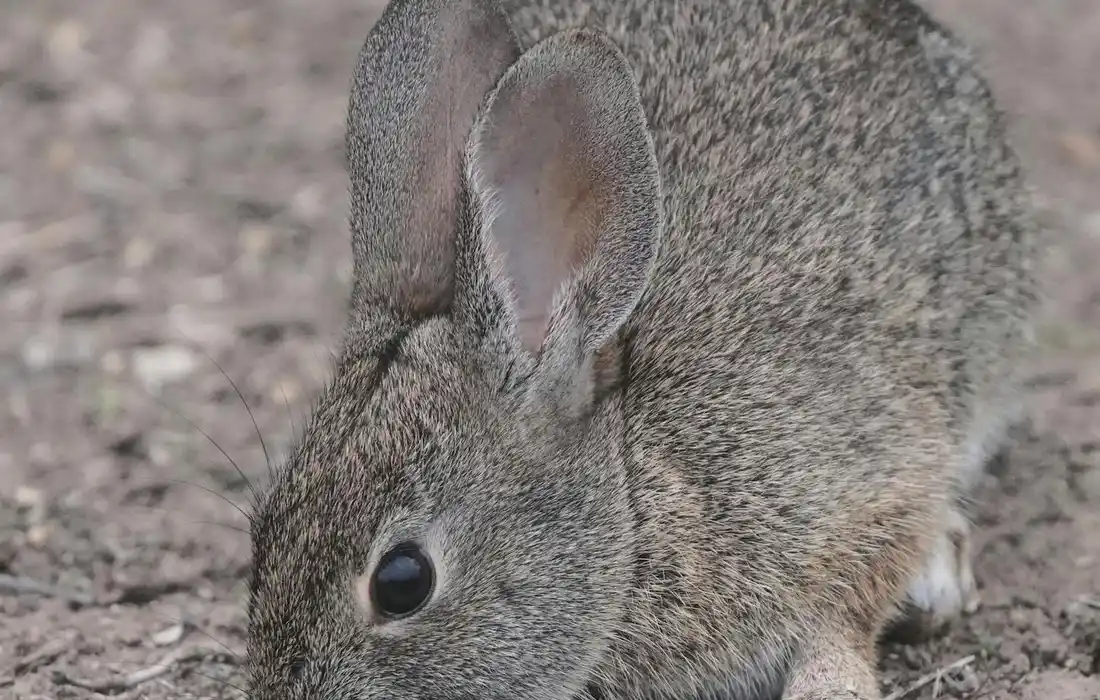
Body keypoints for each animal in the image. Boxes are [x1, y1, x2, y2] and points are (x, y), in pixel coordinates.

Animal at [246, 0, 1040, 698]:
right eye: (263, 530)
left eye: (402, 582)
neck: (632, 512)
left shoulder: (857, 488)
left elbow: (845, 615)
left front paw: (830, 683)